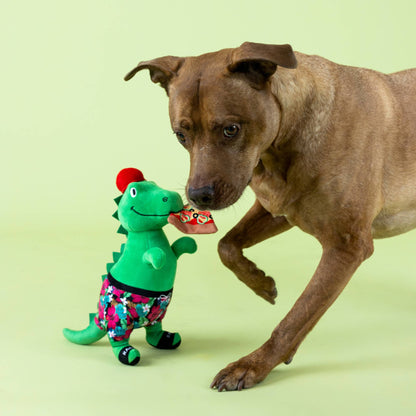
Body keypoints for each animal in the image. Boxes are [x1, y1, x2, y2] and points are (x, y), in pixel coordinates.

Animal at [123, 44, 416, 392]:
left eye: (231, 129)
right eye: (181, 135)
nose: (197, 196)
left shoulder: (346, 247)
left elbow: (296, 318)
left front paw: (252, 365)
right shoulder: (277, 208)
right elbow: (226, 245)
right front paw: (260, 283)